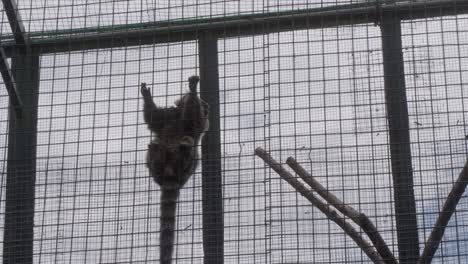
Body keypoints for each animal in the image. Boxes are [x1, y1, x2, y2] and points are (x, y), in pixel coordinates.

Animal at [140, 75, 209, 262]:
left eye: (205, 107)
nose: (206, 109)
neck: (178, 116)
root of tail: (171, 173)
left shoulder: (197, 123)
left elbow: (195, 121)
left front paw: (193, 90)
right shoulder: (169, 115)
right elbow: (153, 118)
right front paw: (147, 96)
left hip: (187, 169)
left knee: (191, 148)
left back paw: (184, 150)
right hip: (156, 163)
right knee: (155, 146)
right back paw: (157, 156)